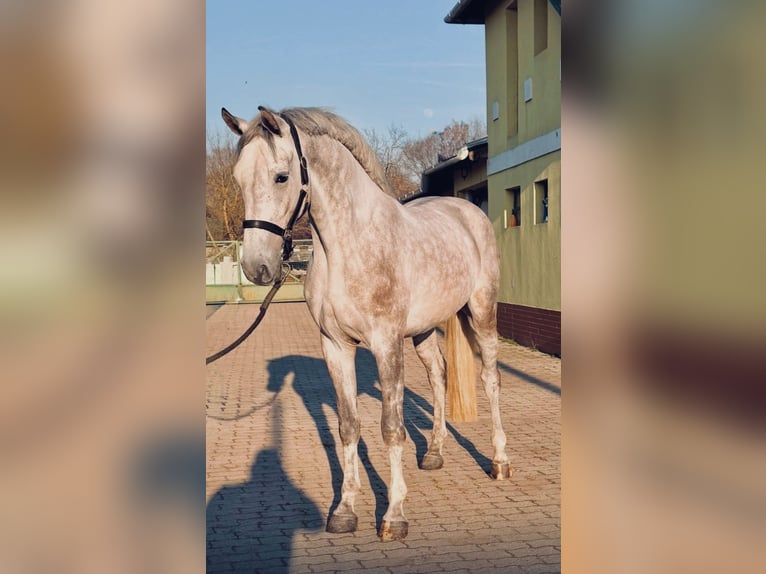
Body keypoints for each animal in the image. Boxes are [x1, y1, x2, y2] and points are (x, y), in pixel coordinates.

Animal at [221, 105, 511, 541]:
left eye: (281, 176)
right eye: (239, 178)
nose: (258, 268)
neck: (348, 245)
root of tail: (467, 211)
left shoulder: (386, 343)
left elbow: (391, 427)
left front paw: (394, 515)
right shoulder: (336, 346)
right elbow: (348, 426)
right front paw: (344, 511)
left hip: (481, 311)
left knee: (490, 378)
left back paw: (499, 461)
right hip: (424, 330)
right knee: (439, 375)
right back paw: (435, 453)